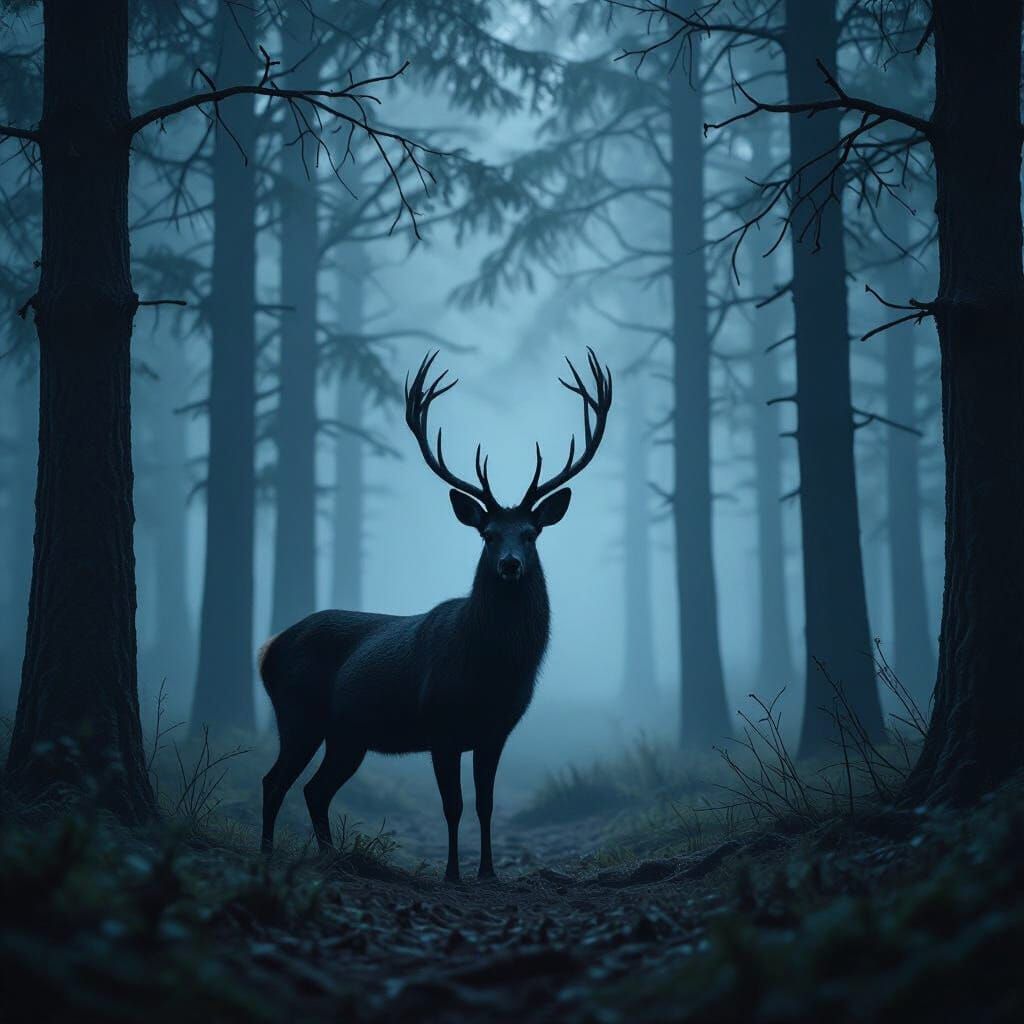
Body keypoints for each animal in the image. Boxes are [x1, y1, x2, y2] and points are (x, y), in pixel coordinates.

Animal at [259, 349, 612, 881]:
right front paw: (452, 874)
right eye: (488, 534)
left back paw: (330, 857)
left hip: (347, 735)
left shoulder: (496, 731)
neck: (492, 670)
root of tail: (268, 648)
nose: (510, 564)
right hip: (298, 713)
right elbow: (453, 806)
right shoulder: (441, 726)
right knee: (274, 781)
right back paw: (267, 854)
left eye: (531, 533)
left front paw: (488, 872)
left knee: (314, 789)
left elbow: (486, 804)